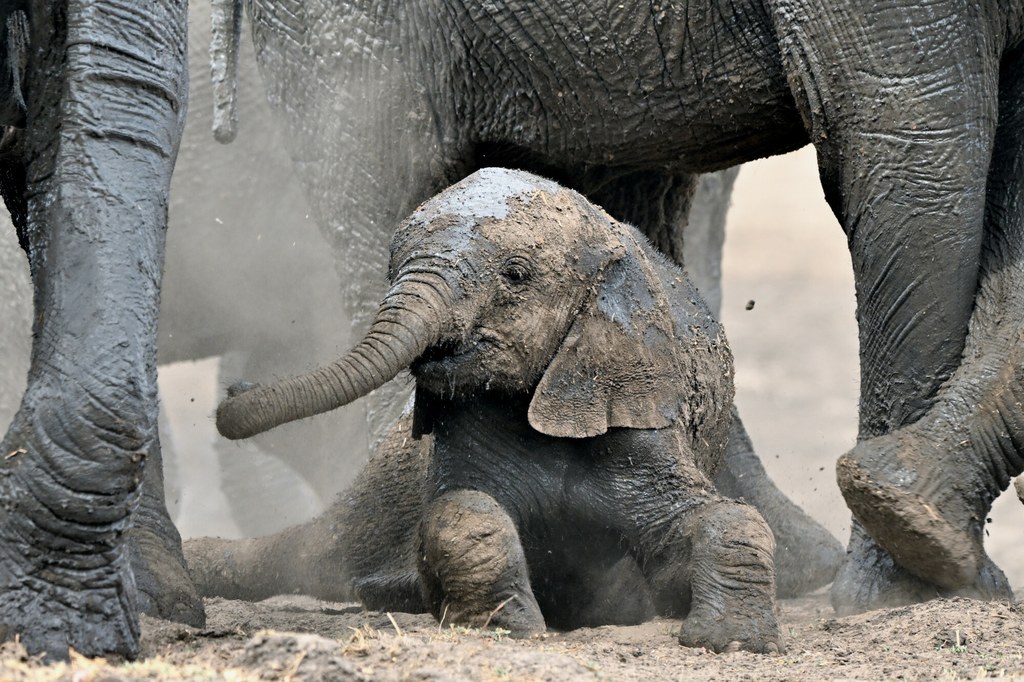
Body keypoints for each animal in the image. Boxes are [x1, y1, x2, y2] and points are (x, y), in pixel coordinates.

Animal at [214, 166, 774, 651]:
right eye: (391, 266)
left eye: (516, 275)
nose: (231, 397)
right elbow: (460, 509)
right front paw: (507, 628)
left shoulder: (637, 408)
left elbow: (714, 523)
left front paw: (732, 641)